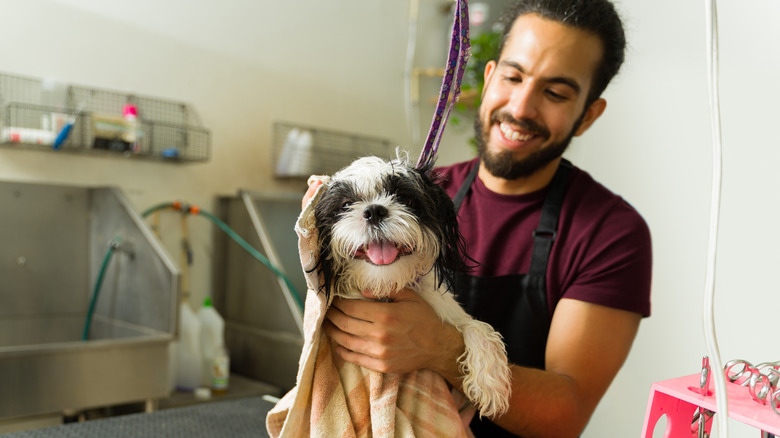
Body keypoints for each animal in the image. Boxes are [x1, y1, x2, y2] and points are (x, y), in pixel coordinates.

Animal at [310, 153, 512, 418]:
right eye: (345, 205)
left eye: (404, 198)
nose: (374, 211)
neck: (385, 286)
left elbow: (475, 326)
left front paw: (491, 383)